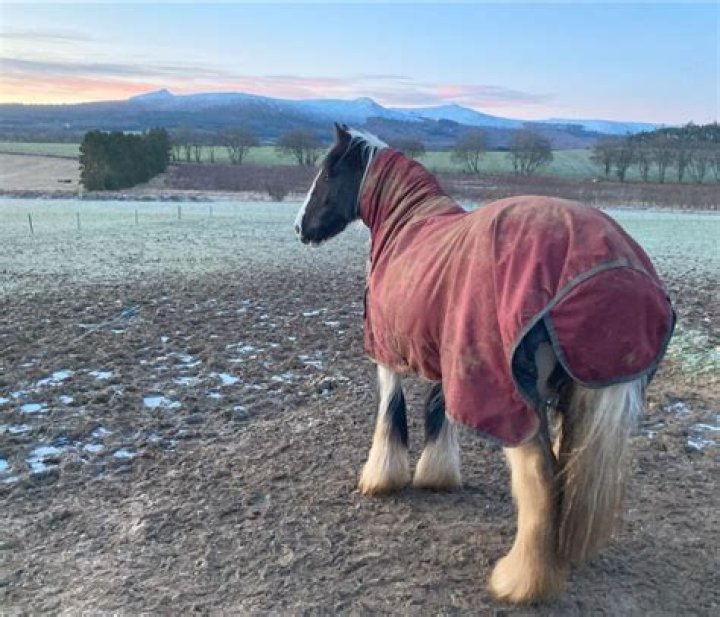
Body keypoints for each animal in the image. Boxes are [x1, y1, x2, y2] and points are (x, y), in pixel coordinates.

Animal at [294, 123, 675, 604]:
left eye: (328, 170)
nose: (300, 227)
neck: (407, 226)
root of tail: (618, 271)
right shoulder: (448, 357)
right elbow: (438, 411)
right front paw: (437, 475)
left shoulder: (387, 356)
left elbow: (391, 414)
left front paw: (380, 478)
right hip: (579, 396)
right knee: (567, 468)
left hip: (514, 398)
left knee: (539, 474)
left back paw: (522, 580)